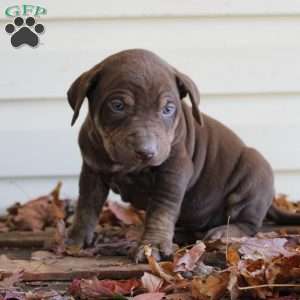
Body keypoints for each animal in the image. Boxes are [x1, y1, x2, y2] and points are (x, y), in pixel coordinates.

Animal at [65, 48, 290, 262]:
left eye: (168, 109)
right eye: (117, 106)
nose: (146, 151)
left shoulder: (174, 170)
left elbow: (162, 209)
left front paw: (153, 245)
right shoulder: (92, 169)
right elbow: (86, 206)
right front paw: (76, 239)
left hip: (255, 171)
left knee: (249, 222)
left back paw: (225, 231)